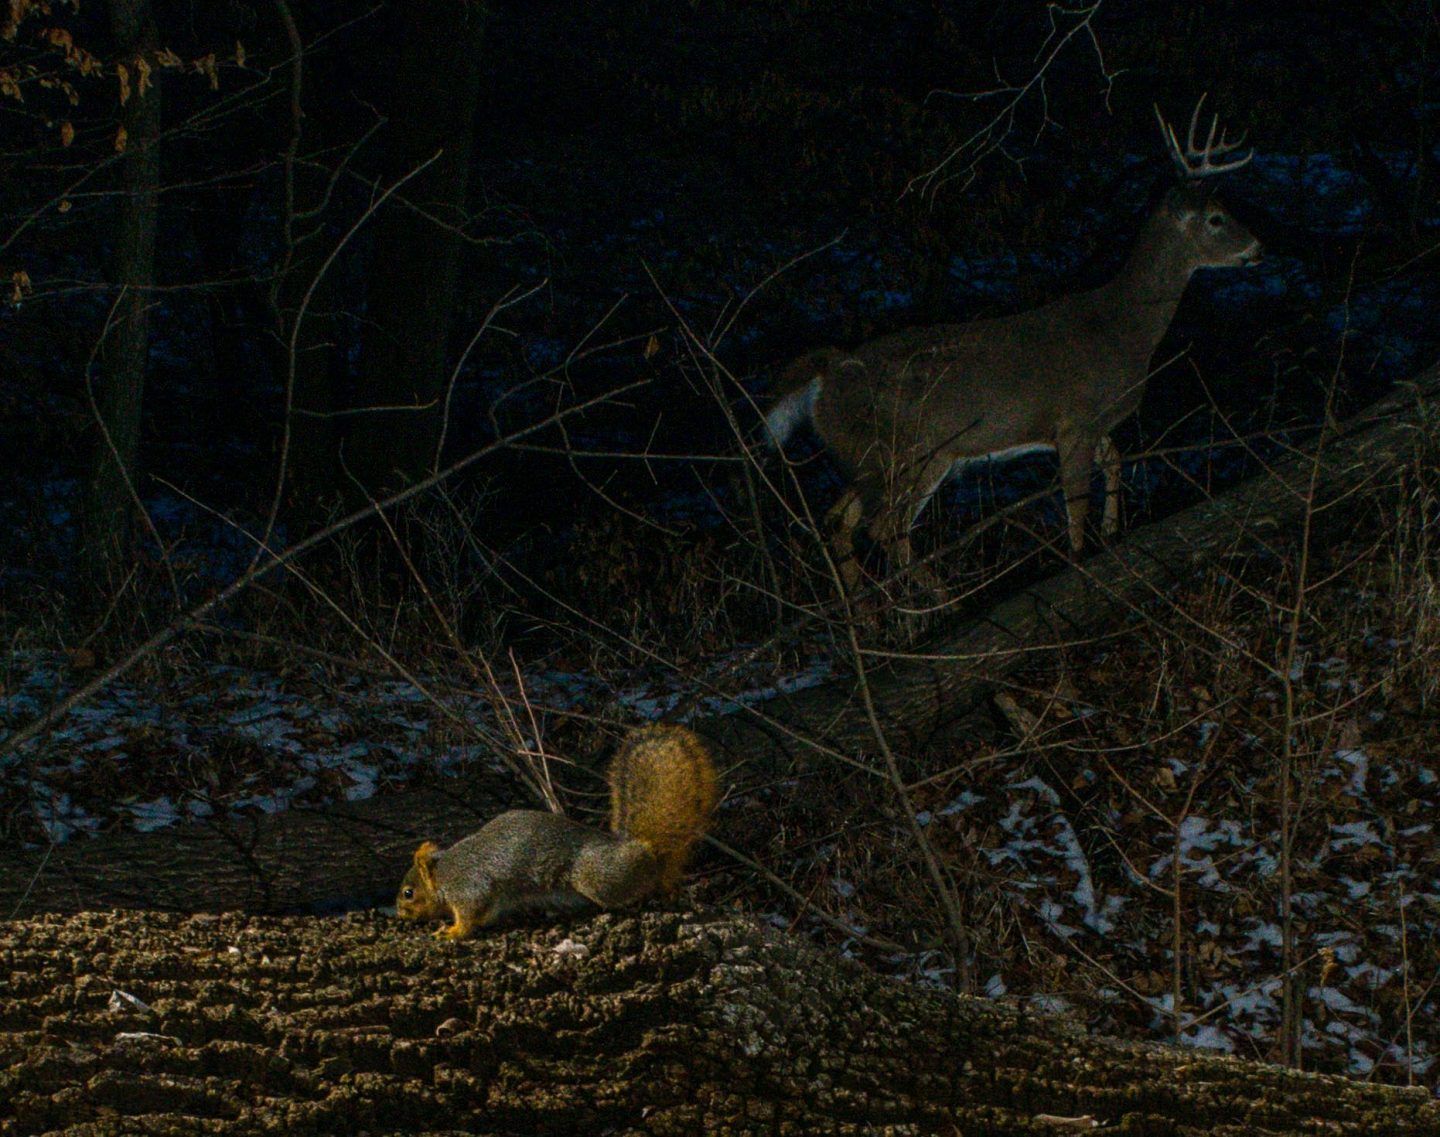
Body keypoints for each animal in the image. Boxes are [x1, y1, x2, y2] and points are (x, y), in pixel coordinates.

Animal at [397, 725, 717, 938]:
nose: (400, 914)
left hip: (598, 877)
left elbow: (471, 914)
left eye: (408, 893)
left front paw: (451, 932)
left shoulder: (467, 885)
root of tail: (643, 848)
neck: (442, 873)